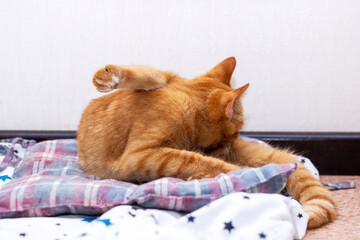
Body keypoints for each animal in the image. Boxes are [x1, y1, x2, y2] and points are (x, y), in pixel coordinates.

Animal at [77, 57, 336, 228]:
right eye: (235, 131)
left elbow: (146, 73)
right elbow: (195, 159)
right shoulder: (139, 156)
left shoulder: (166, 79)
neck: (187, 106)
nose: (233, 142)